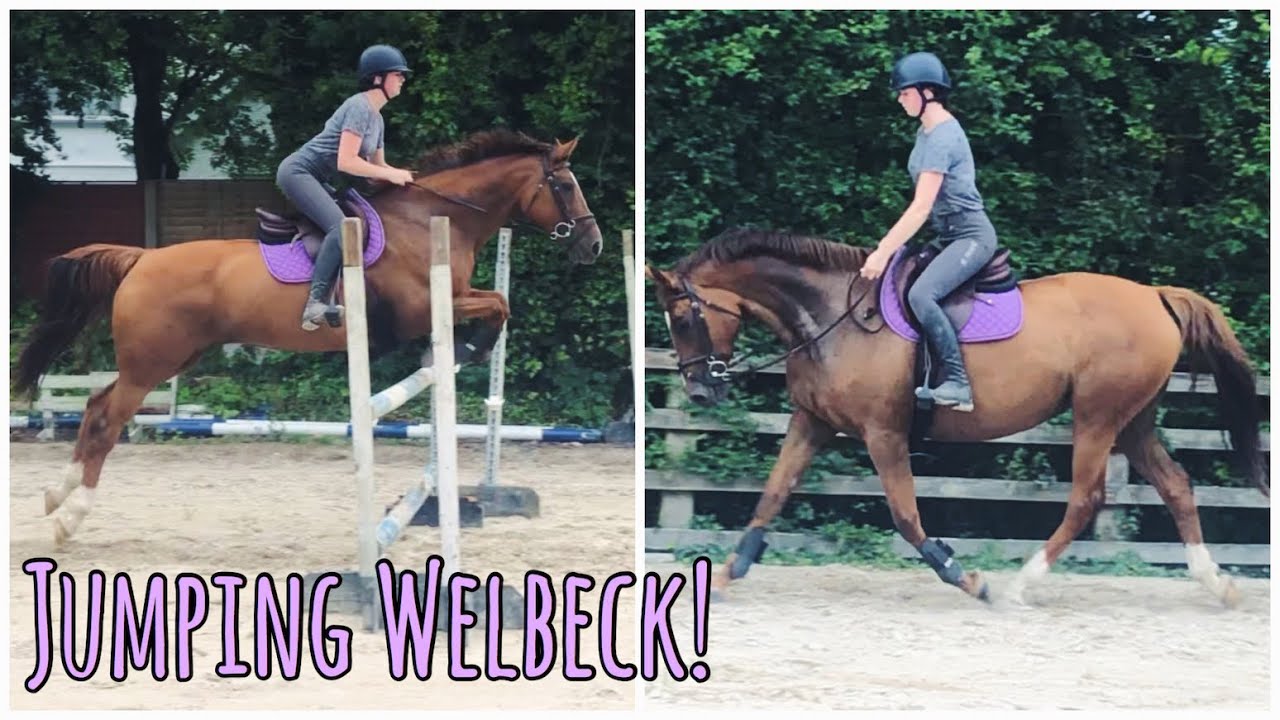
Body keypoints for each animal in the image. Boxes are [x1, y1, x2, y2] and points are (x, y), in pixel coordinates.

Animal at [15, 130, 604, 545]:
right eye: (566, 186)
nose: (594, 245)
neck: (432, 219)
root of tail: (141, 258)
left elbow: (499, 300)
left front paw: (464, 348)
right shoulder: (420, 309)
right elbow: (497, 304)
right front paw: (471, 346)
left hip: (168, 359)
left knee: (95, 406)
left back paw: (55, 496)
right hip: (152, 363)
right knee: (109, 422)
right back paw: (71, 516)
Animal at [647, 227, 1268, 608]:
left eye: (684, 318)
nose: (699, 390)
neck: (829, 318)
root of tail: (1155, 295)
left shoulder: (883, 433)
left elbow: (905, 516)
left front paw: (967, 578)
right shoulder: (811, 423)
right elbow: (771, 496)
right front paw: (727, 573)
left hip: (1097, 417)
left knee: (1087, 498)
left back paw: (1020, 585)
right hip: (1133, 421)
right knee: (1176, 485)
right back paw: (1216, 583)